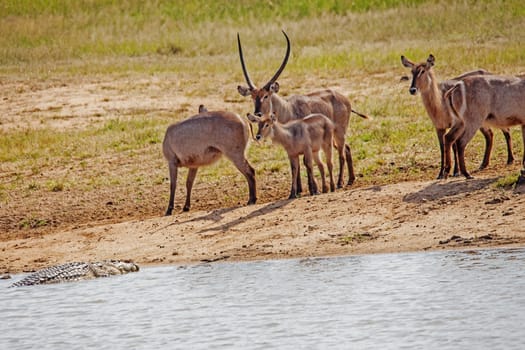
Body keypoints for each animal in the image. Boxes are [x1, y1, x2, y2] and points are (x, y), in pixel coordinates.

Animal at [238, 30, 368, 189]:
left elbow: (305, 163)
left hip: (339, 132)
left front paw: (311, 188)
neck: (287, 109)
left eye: (266, 95)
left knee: (341, 153)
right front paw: (299, 189)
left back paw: (339, 183)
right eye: (252, 96)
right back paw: (350, 179)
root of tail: (344, 98)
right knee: (347, 148)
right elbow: (295, 165)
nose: (257, 113)